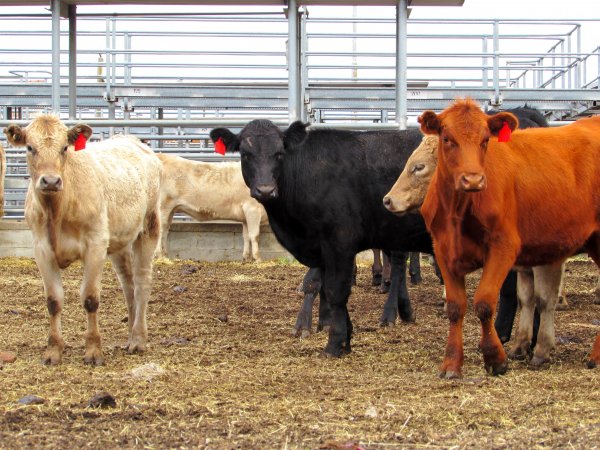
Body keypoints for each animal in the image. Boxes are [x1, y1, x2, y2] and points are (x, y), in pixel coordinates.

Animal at [3, 117, 162, 366]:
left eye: (64, 148)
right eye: (30, 147)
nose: (50, 181)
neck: (57, 210)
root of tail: (135, 142)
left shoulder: (95, 245)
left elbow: (90, 298)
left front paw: (93, 351)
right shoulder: (42, 250)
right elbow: (53, 300)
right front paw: (53, 351)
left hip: (149, 226)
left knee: (142, 282)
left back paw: (138, 339)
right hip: (118, 242)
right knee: (128, 284)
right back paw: (129, 336)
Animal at [418, 98, 600, 376]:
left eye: (485, 140)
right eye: (447, 138)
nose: (473, 179)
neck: (459, 210)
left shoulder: (503, 246)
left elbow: (484, 302)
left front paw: (495, 358)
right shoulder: (443, 249)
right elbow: (456, 307)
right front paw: (451, 363)